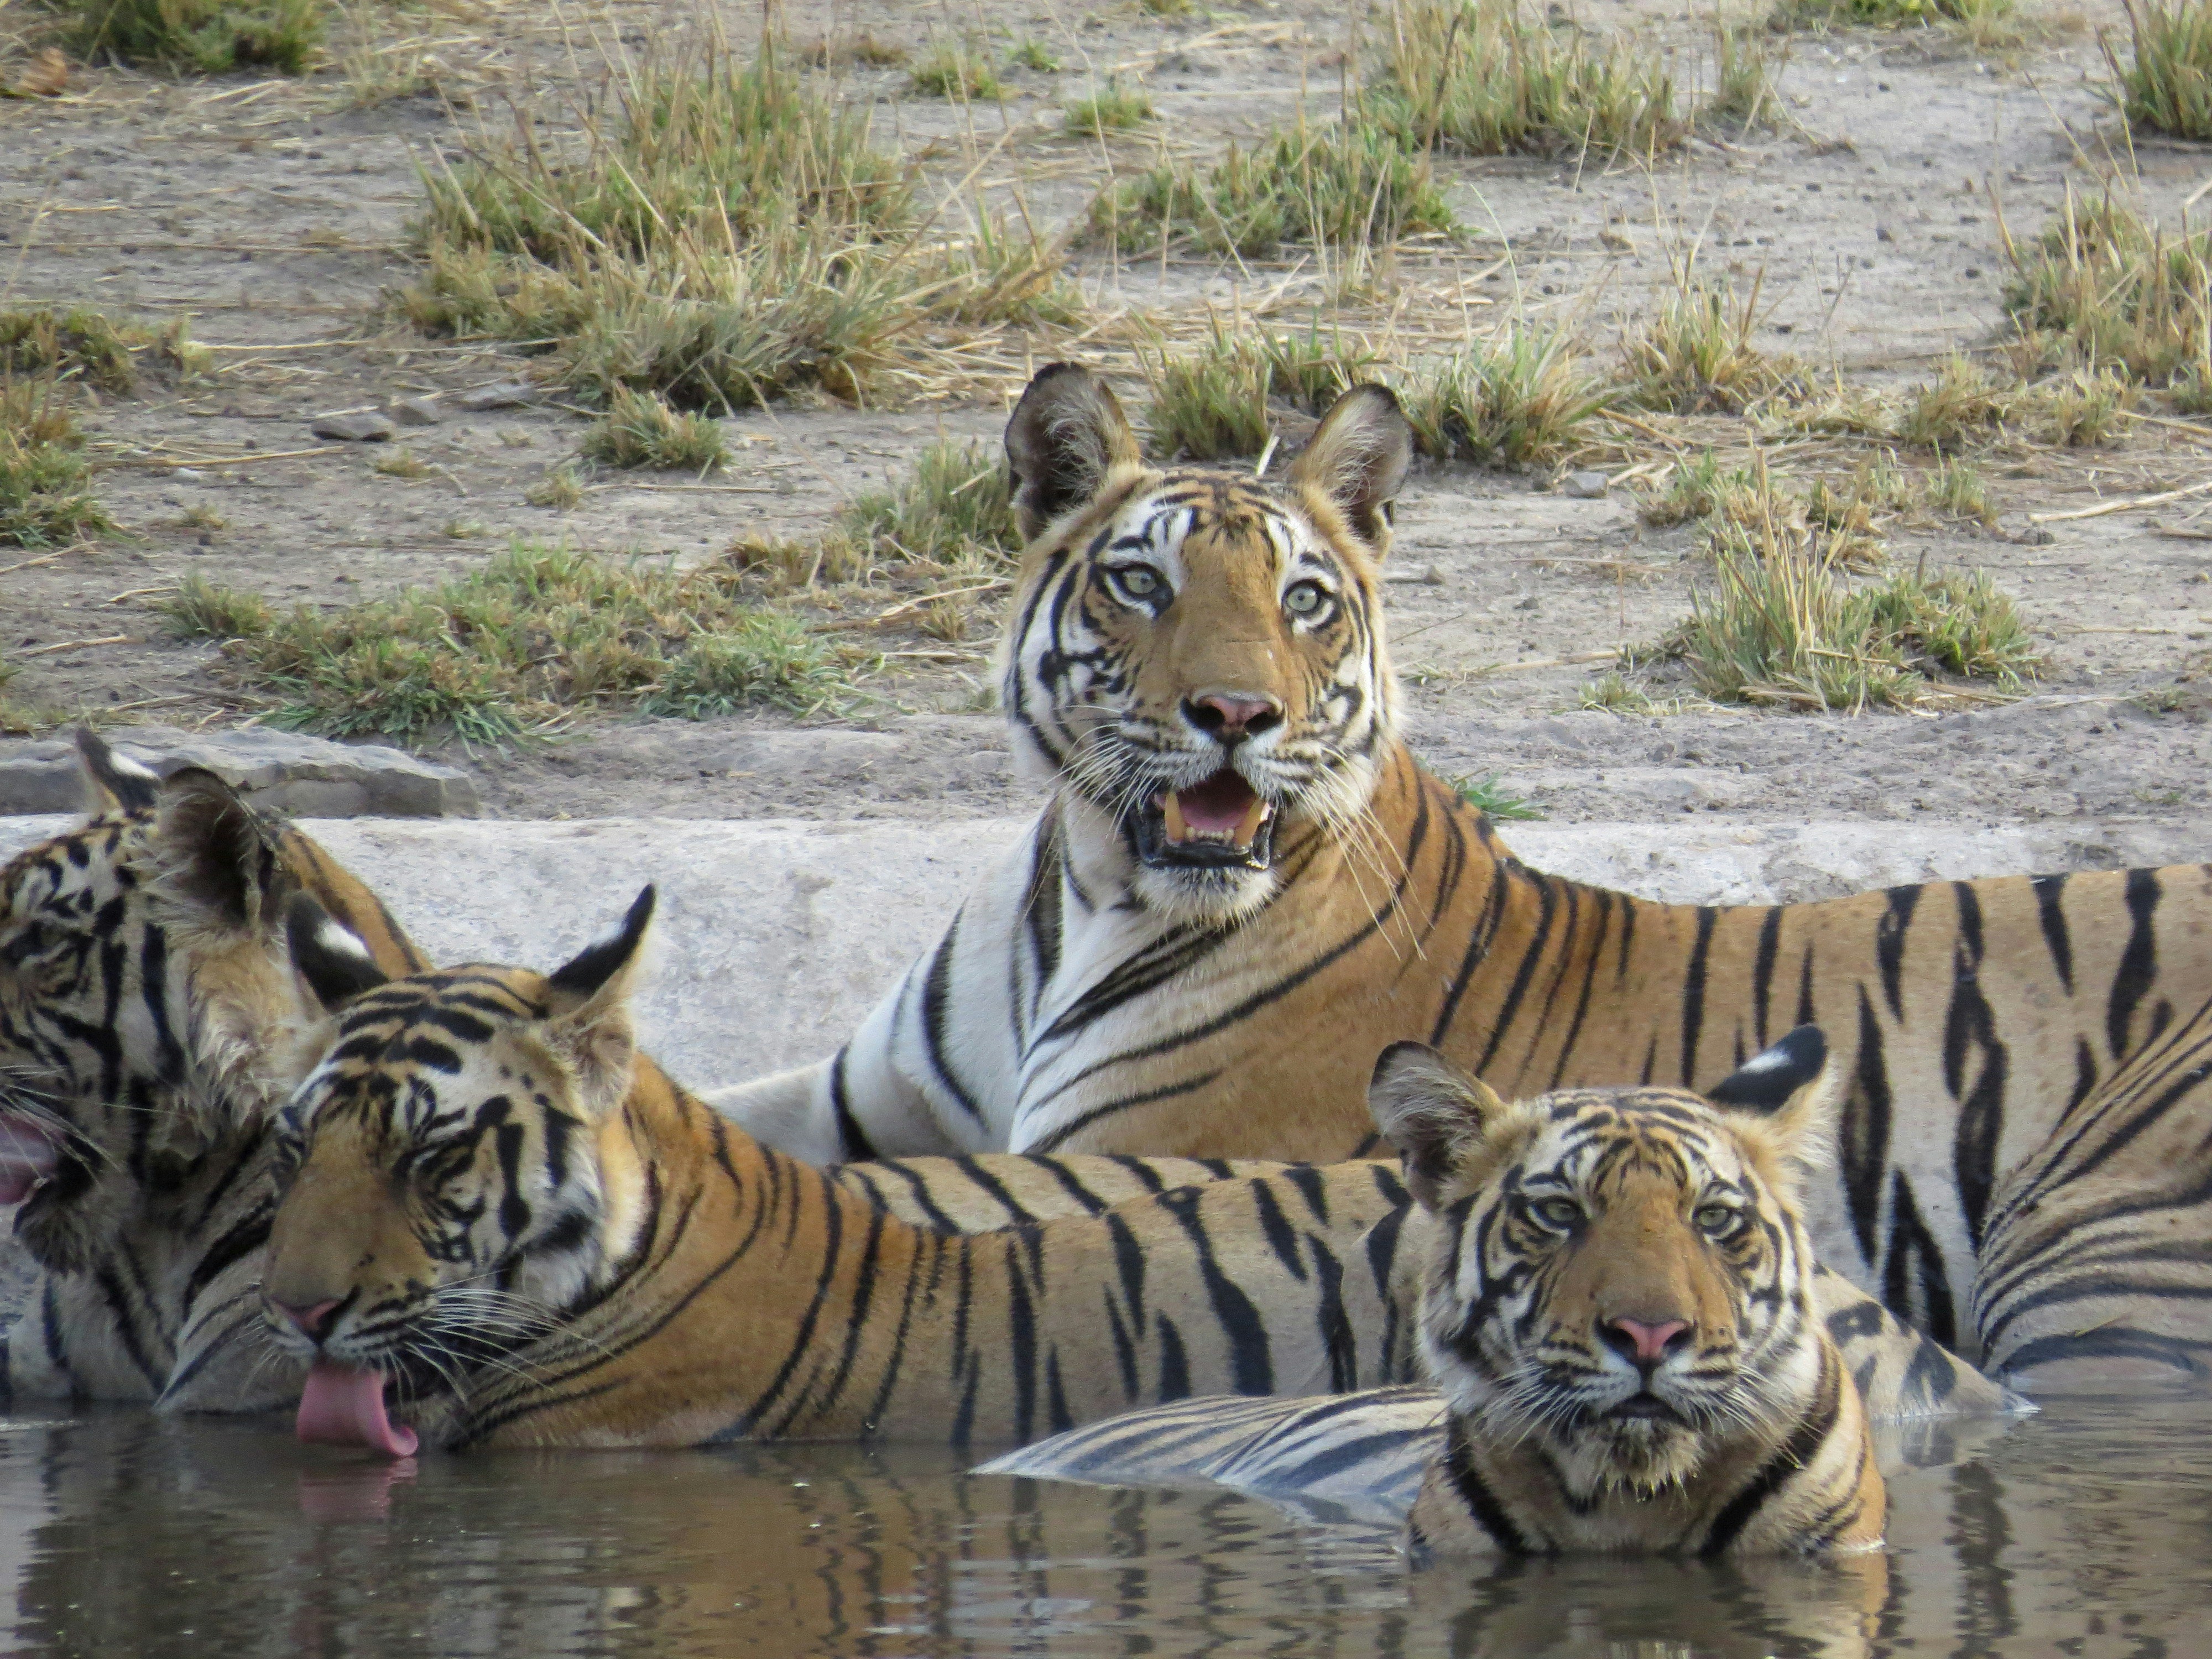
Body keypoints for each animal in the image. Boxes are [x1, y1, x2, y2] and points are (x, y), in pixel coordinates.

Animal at [710, 360, 2212, 1375]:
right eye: (1140, 583)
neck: (1084, 886)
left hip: (2091, 1233)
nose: (1238, 715)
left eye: (1303, 600)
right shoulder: (866, 1096)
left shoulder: (1117, 1154)